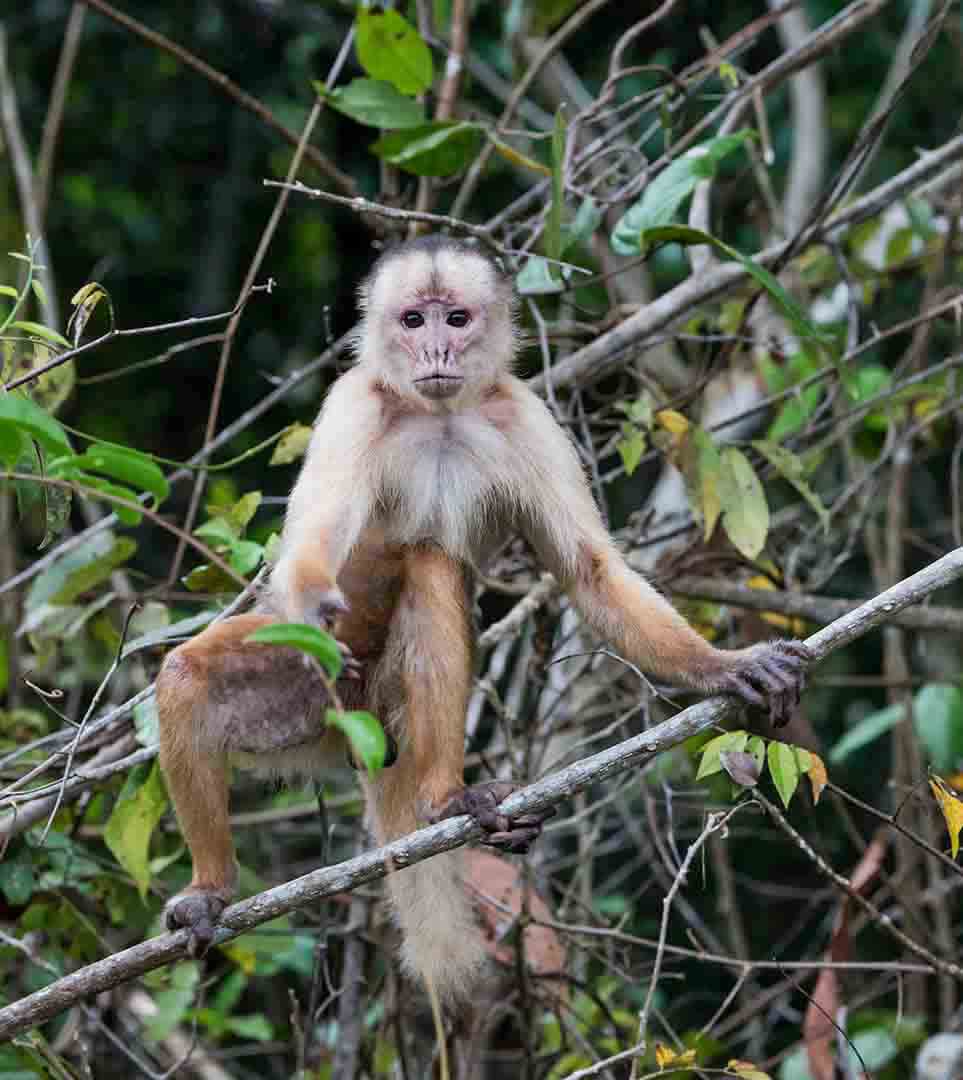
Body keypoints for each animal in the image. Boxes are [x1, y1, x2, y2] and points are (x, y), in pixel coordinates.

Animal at [157, 236, 811, 1002]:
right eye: (413, 320)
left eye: (457, 318)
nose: (436, 347)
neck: (436, 413)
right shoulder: (355, 403)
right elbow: (309, 548)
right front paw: (315, 600)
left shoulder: (525, 416)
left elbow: (590, 573)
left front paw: (720, 668)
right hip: (311, 708)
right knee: (190, 673)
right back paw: (213, 887)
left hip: (370, 708)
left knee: (431, 566)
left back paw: (445, 797)